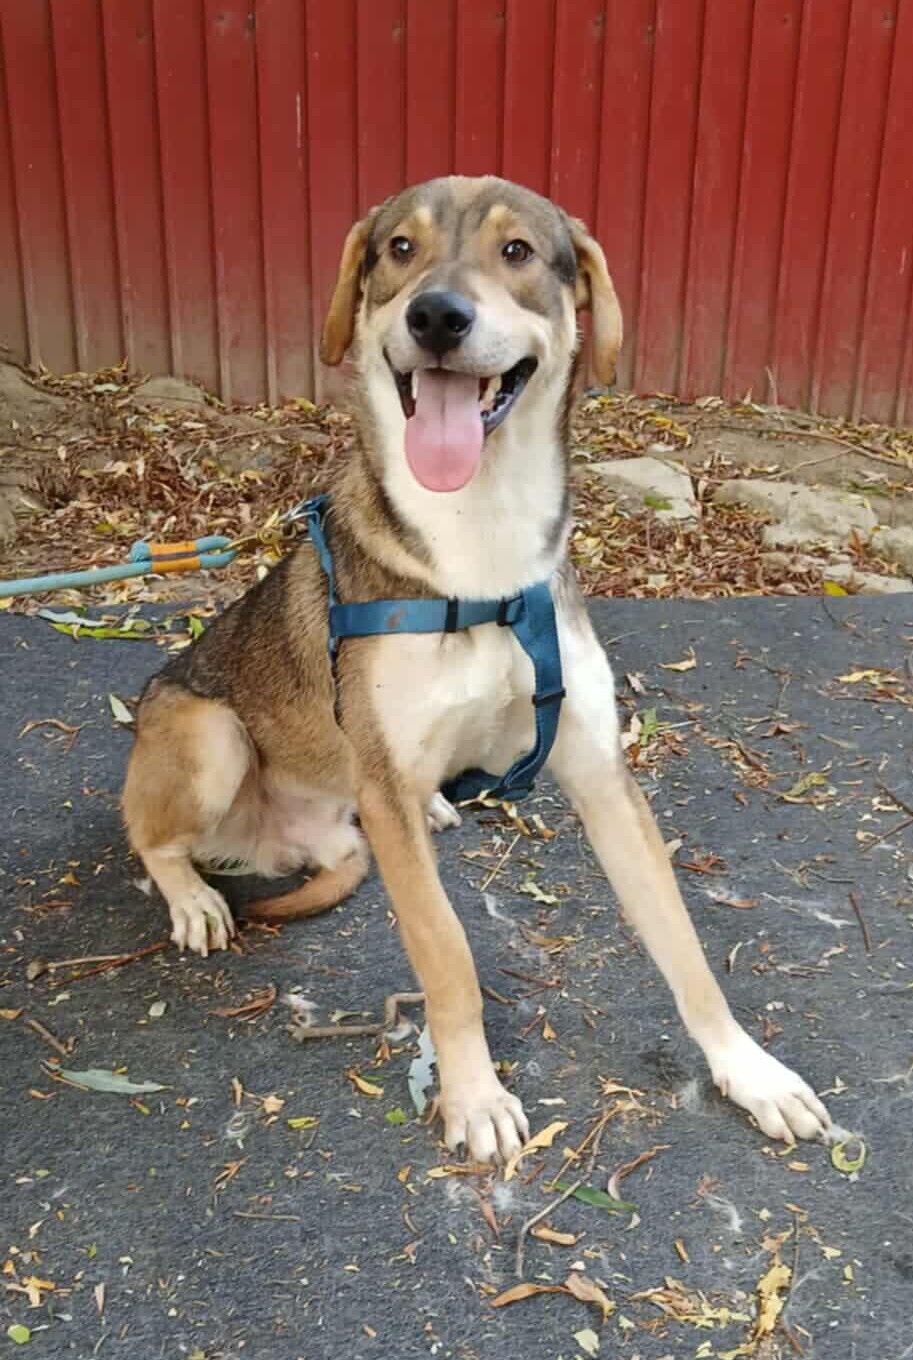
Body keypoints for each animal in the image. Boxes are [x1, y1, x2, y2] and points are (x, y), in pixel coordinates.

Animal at [123, 175, 830, 1162]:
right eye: (399, 249)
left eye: (517, 252)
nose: (436, 317)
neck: (481, 556)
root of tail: (284, 841)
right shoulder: (385, 796)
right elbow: (447, 956)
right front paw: (474, 1097)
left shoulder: (600, 773)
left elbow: (684, 947)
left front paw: (748, 1071)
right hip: (208, 733)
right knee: (151, 838)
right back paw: (192, 897)